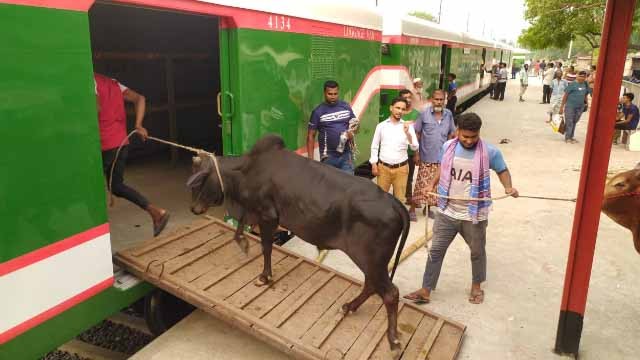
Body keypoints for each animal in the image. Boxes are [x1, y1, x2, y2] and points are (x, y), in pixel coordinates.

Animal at [186, 134, 410, 352]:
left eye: (199, 182)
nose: (194, 209)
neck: (246, 171)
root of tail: (394, 202)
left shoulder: (267, 215)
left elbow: (266, 247)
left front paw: (264, 277)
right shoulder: (254, 212)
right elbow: (242, 231)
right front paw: (243, 244)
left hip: (370, 259)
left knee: (390, 293)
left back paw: (393, 339)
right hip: (373, 262)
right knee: (371, 285)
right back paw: (349, 307)